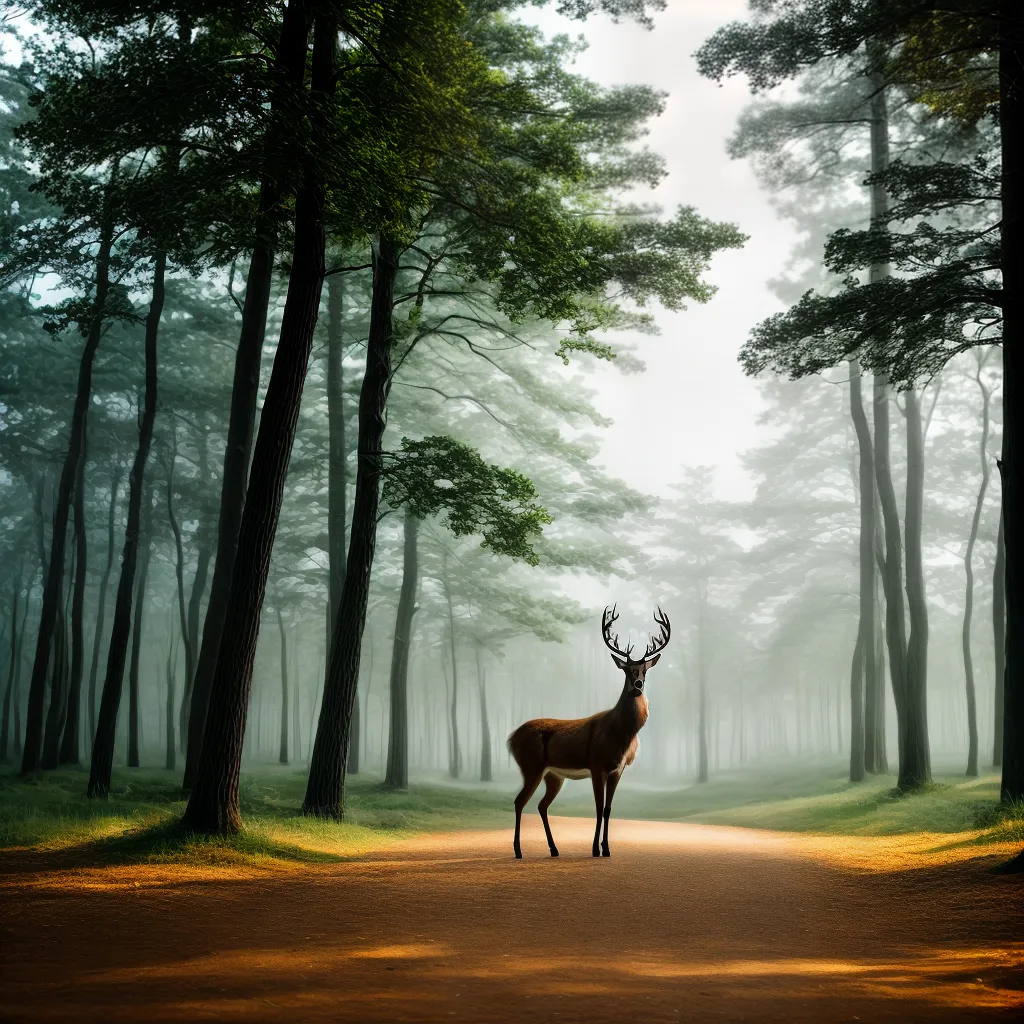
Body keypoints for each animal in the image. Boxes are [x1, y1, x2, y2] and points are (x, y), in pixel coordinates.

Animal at [507, 605, 671, 859]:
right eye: (627, 670)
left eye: (645, 670)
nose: (638, 685)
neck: (621, 734)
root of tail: (511, 738)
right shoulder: (596, 764)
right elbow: (598, 806)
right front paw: (595, 849)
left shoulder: (618, 769)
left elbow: (608, 808)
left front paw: (607, 849)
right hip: (531, 765)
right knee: (519, 801)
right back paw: (518, 850)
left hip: (553, 775)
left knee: (541, 805)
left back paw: (554, 849)